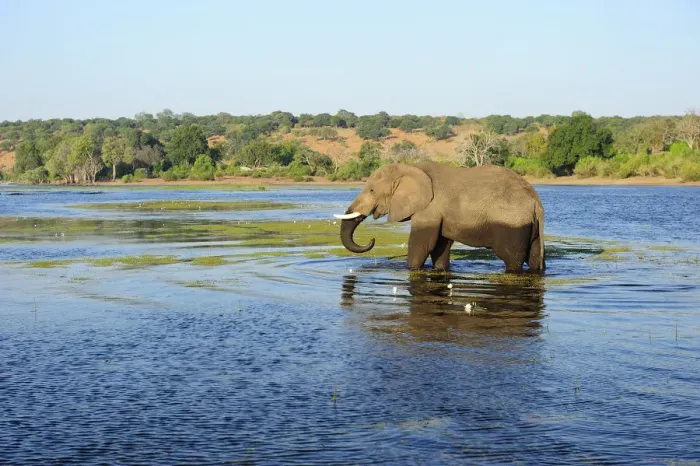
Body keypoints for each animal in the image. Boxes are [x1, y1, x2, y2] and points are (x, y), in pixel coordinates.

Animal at [334, 162, 546, 273]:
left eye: (371, 190)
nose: (372, 240)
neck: (410, 167)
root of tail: (536, 201)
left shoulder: (429, 208)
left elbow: (421, 244)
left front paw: (411, 269)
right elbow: (439, 247)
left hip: (512, 224)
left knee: (511, 258)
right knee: (534, 258)